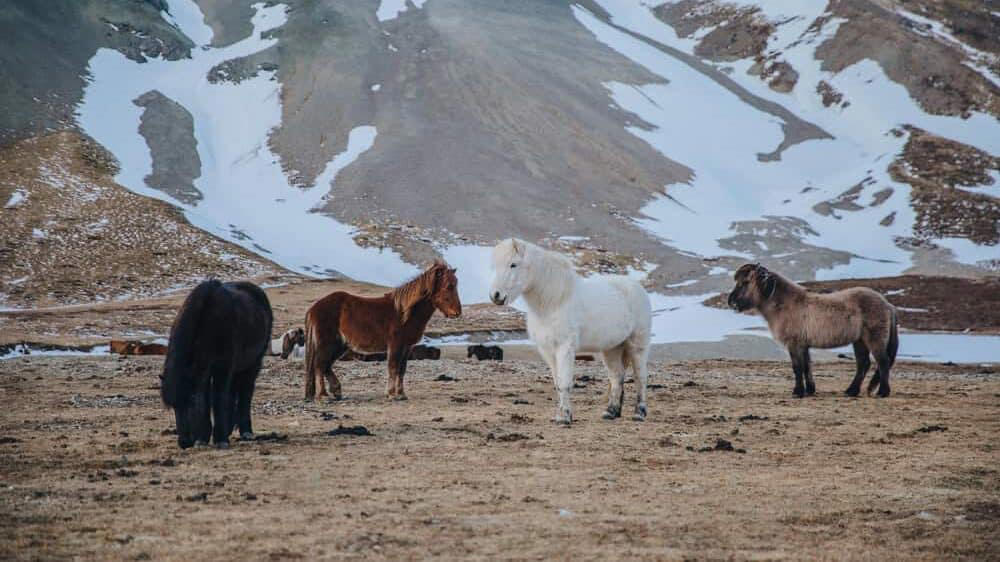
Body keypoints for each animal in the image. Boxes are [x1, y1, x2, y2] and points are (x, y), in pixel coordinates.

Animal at [160, 280, 273, 449]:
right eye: (174, 407)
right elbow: (207, 400)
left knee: (245, 393)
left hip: (252, 364)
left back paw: (246, 431)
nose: (184, 442)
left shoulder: (222, 367)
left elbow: (218, 399)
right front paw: (203, 438)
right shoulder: (204, 370)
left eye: (190, 401)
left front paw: (220, 440)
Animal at [304, 261, 461, 401]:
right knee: (319, 365)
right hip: (327, 344)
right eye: (449, 286)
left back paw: (336, 391)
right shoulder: (395, 345)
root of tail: (314, 308)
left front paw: (401, 394)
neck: (404, 313)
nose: (457, 312)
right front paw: (391, 394)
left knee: (326, 365)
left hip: (339, 345)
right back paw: (323, 395)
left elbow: (402, 369)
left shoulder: (406, 347)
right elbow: (393, 367)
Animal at [489, 239, 652, 423]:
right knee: (617, 377)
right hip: (612, 348)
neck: (554, 302)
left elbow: (565, 383)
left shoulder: (565, 347)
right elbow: (557, 383)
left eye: (513, 264)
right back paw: (611, 412)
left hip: (637, 344)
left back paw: (639, 413)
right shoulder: (548, 351)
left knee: (640, 377)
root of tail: (637, 288)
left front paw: (565, 417)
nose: (495, 296)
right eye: (495, 265)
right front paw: (561, 415)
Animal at [727, 263, 899, 398]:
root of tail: (887, 305)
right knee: (863, 364)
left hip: (874, 340)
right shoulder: (803, 345)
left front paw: (798, 392)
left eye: (745, 282)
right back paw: (851, 391)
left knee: (883, 362)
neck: (785, 304)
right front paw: (810, 390)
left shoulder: (794, 344)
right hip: (859, 341)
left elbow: (797, 367)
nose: (731, 302)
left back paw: (882, 392)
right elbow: (806, 366)